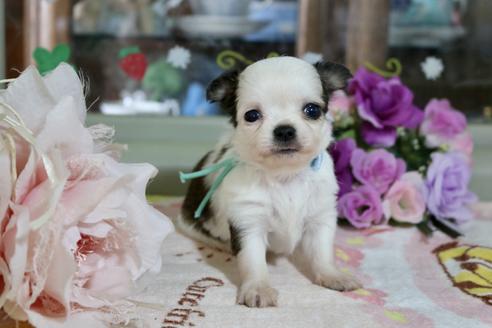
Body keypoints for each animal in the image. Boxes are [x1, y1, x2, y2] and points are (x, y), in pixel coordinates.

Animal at [178, 55, 362, 308]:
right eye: (252, 115)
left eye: (312, 110)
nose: (284, 130)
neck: (284, 176)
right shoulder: (248, 222)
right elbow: (253, 261)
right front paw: (258, 288)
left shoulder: (320, 217)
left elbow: (322, 252)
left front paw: (332, 275)